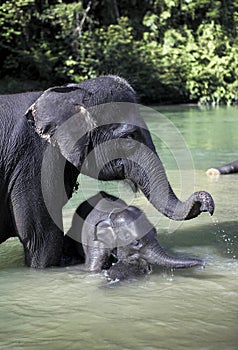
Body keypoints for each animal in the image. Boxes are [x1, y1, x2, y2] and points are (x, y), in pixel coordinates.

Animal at [63, 190, 205, 280]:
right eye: (136, 242)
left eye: (155, 232)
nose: (203, 264)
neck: (113, 214)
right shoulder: (95, 241)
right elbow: (93, 269)